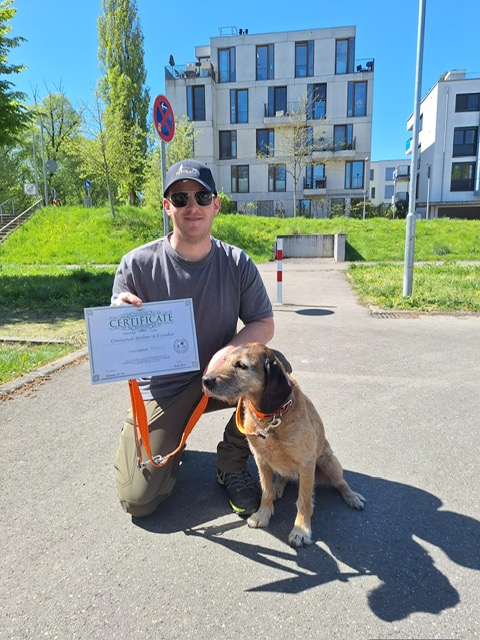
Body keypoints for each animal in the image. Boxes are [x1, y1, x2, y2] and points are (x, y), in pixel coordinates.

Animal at [202, 343, 365, 547]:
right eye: (224, 360)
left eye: (241, 365)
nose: (205, 380)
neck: (272, 416)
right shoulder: (261, 460)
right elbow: (265, 491)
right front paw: (263, 514)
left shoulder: (306, 464)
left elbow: (304, 501)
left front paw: (301, 530)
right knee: (283, 478)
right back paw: (278, 487)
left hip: (328, 463)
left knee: (340, 482)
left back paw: (352, 496)